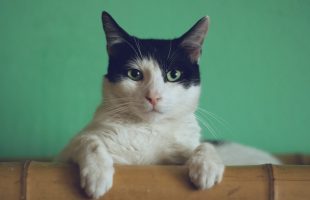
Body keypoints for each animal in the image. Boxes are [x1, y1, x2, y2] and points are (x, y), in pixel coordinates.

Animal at [58, 11, 280, 198]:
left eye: (173, 75)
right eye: (134, 74)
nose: (153, 96)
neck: (148, 131)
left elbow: (203, 145)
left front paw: (206, 167)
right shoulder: (62, 157)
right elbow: (88, 140)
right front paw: (98, 175)